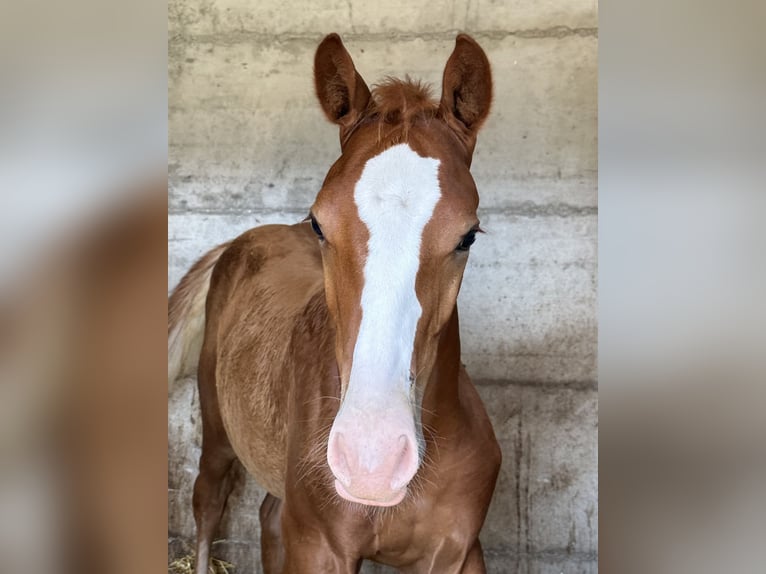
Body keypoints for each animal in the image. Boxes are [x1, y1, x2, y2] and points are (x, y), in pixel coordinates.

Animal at [169, 32, 504, 574]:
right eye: (320, 223)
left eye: (468, 236)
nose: (372, 460)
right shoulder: (319, 547)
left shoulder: (459, 553)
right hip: (217, 431)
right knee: (209, 501)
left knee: (268, 516)